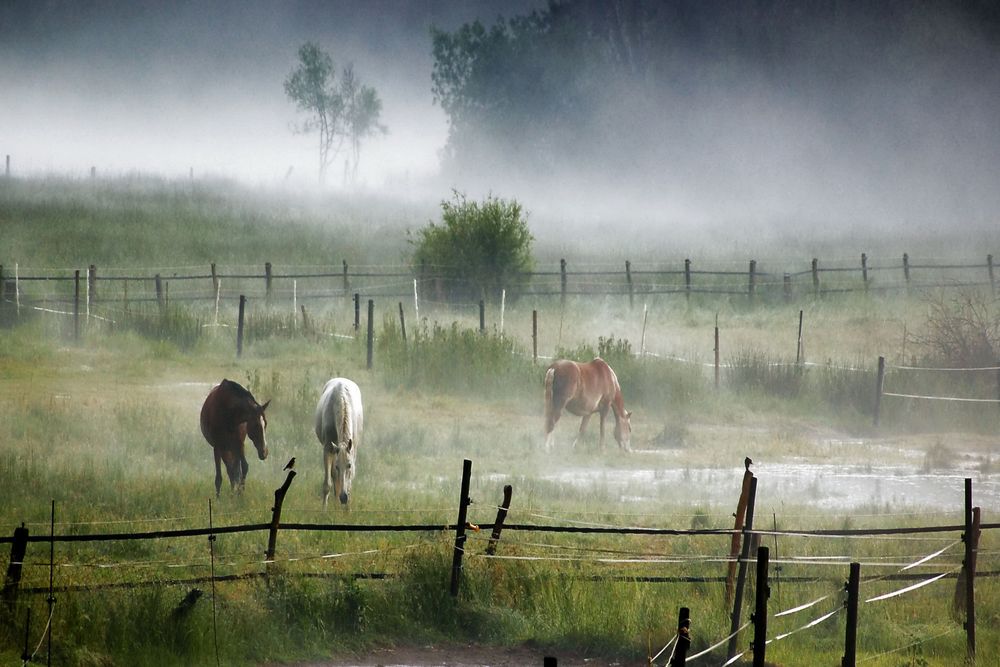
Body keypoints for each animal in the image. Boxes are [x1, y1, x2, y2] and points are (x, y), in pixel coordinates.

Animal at [314, 378, 366, 508]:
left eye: (349, 465)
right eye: (338, 466)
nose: (343, 498)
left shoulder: (353, 451)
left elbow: (349, 483)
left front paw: (347, 509)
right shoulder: (328, 448)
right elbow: (327, 484)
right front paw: (324, 509)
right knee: (333, 476)